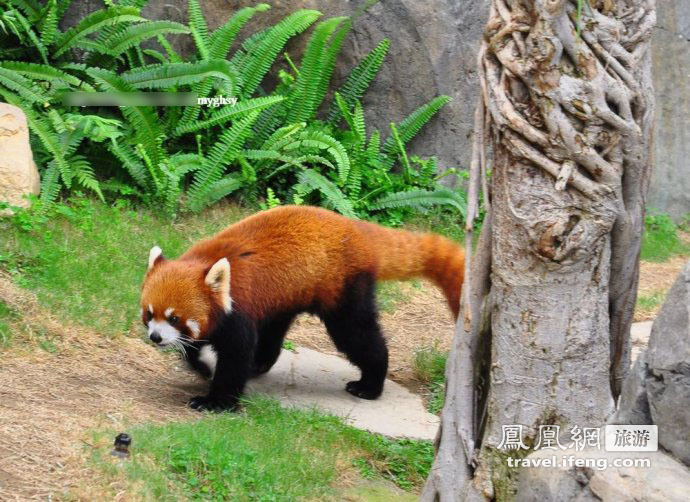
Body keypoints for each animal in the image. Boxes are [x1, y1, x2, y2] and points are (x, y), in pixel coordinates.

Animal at [139, 205, 462, 412]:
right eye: (149, 314)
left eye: (175, 317)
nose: (156, 337)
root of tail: (355, 229)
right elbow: (194, 348)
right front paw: (202, 366)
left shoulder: (238, 312)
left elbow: (235, 355)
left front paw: (216, 401)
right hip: (286, 294)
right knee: (274, 331)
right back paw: (259, 363)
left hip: (343, 287)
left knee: (357, 334)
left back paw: (370, 384)